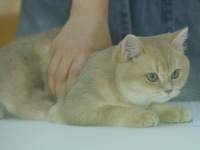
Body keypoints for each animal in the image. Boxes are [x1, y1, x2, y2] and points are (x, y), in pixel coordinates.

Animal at [0, 27, 191, 127]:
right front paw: (140, 115)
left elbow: (154, 105)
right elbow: (112, 110)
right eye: (152, 76)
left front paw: (174, 110)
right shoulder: (74, 108)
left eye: (175, 73)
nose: (169, 90)